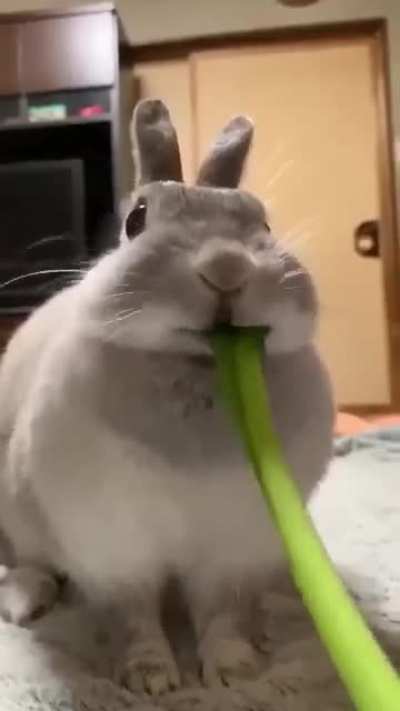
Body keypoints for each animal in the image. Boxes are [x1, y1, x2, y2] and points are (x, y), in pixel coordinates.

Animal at [0, 99, 334, 695]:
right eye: (136, 220)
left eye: (264, 226)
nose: (227, 269)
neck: (199, 370)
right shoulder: (114, 548)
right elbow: (135, 615)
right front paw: (150, 679)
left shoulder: (232, 549)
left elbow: (221, 614)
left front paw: (232, 671)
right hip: (17, 522)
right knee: (29, 565)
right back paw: (26, 604)